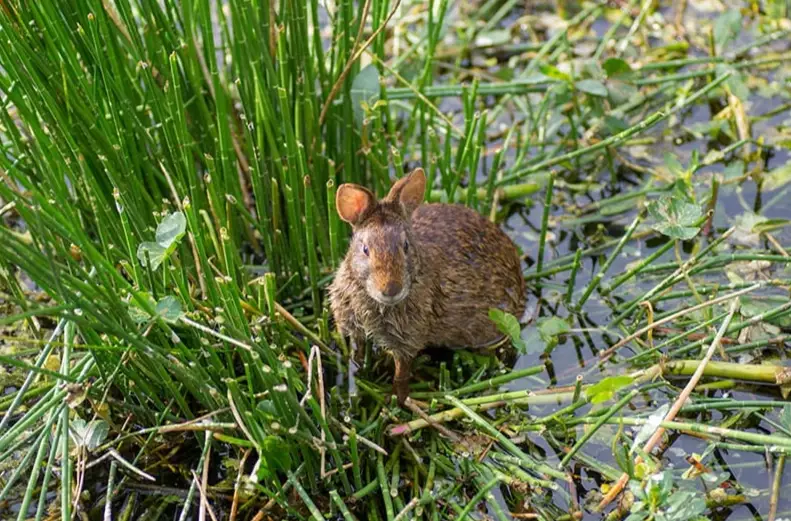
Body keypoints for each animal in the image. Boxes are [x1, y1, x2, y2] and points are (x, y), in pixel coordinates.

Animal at [328, 167, 526, 404]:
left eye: (405, 246)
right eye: (365, 249)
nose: (391, 289)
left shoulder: (407, 340)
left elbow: (401, 371)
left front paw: (396, 399)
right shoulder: (352, 327)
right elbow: (355, 354)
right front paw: (354, 378)